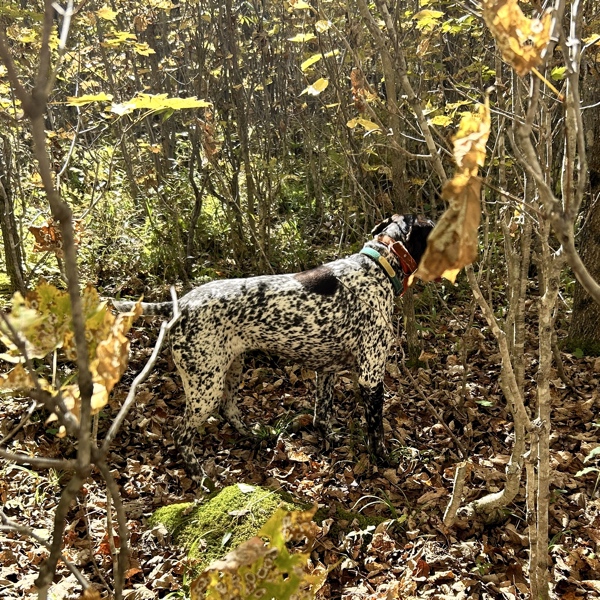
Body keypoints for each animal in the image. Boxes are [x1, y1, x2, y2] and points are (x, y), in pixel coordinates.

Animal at [115, 216, 434, 478]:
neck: (378, 266)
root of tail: (180, 305)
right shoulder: (371, 377)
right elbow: (376, 431)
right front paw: (384, 460)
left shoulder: (326, 371)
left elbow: (322, 415)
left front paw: (330, 440)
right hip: (205, 387)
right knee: (181, 435)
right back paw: (200, 476)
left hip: (231, 369)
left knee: (229, 410)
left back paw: (256, 435)